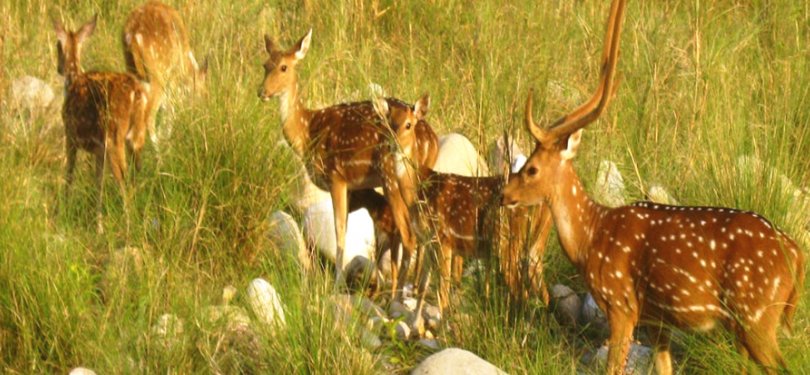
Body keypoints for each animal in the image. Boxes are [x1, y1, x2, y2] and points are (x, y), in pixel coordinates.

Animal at [53, 14, 148, 231]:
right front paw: (99, 226)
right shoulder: (98, 151)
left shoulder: (70, 135)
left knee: (123, 179)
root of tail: (136, 93)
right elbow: (98, 183)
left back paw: (129, 228)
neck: (74, 78)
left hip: (114, 137)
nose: (59, 68)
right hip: (136, 135)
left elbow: (69, 174)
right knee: (137, 173)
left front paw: (63, 213)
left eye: (57, 45)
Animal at [122, 0, 207, 147]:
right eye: (203, 94)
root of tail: (133, 36)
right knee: (149, 116)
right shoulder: (173, 75)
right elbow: (172, 104)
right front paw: (167, 134)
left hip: (133, 70)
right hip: (158, 72)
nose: (203, 114)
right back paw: (160, 148)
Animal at [498, 0, 800, 375]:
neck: (591, 238)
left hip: (756, 315)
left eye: (532, 169)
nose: (504, 195)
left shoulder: (621, 304)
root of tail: (798, 255)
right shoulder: (658, 321)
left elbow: (614, 366)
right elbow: (663, 366)